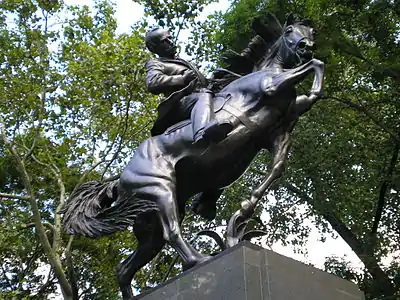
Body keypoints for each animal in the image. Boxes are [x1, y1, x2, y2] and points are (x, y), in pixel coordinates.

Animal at [62, 15, 324, 298]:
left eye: (311, 31)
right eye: (289, 30)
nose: (306, 46)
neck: (267, 70)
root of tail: (118, 179)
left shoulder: (277, 134)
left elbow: (276, 169)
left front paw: (241, 216)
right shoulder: (270, 86)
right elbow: (314, 65)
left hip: (149, 223)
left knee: (125, 267)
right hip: (160, 189)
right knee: (172, 232)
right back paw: (200, 260)